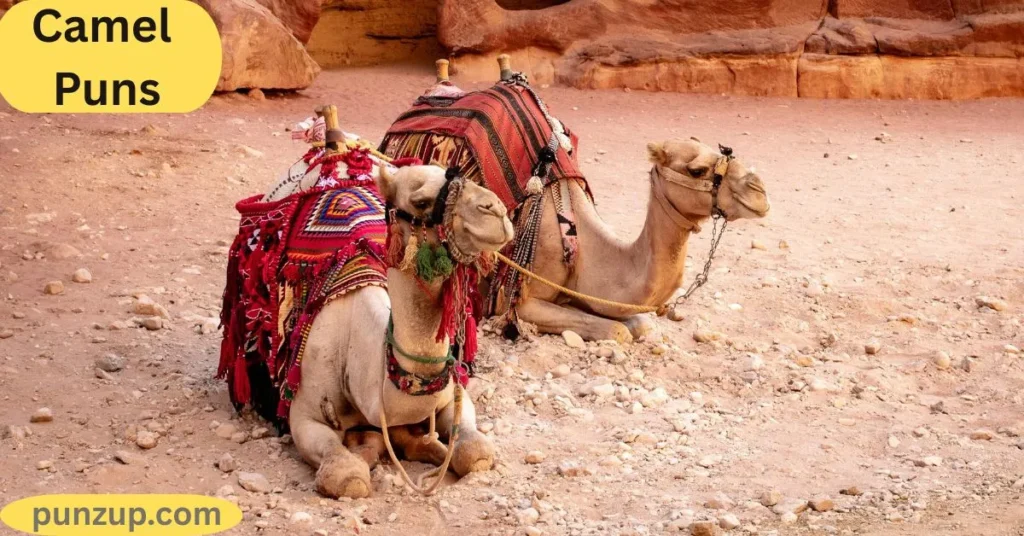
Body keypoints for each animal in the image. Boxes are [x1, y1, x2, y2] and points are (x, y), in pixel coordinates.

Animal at [288, 164, 514, 499]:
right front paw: (360, 457)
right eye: (420, 201)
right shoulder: (302, 414)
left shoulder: (453, 394)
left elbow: (475, 452)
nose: (496, 210)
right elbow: (347, 477)